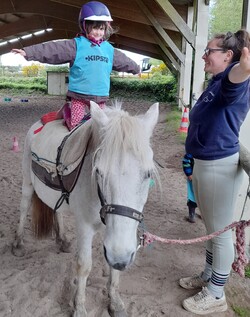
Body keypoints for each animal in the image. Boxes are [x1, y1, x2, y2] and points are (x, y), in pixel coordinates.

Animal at [11, 100, 159, 314]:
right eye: (99, 172)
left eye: (148, 174)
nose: (121, 256)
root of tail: (38, 123)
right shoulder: (85, 227)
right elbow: (84, 265)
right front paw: (79, 308)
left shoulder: (113, 235)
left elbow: (112, 266)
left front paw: (115, 302)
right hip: (27, 183)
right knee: (23, 209)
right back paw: (18, 244)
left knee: (57, 212)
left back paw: (63, 240)